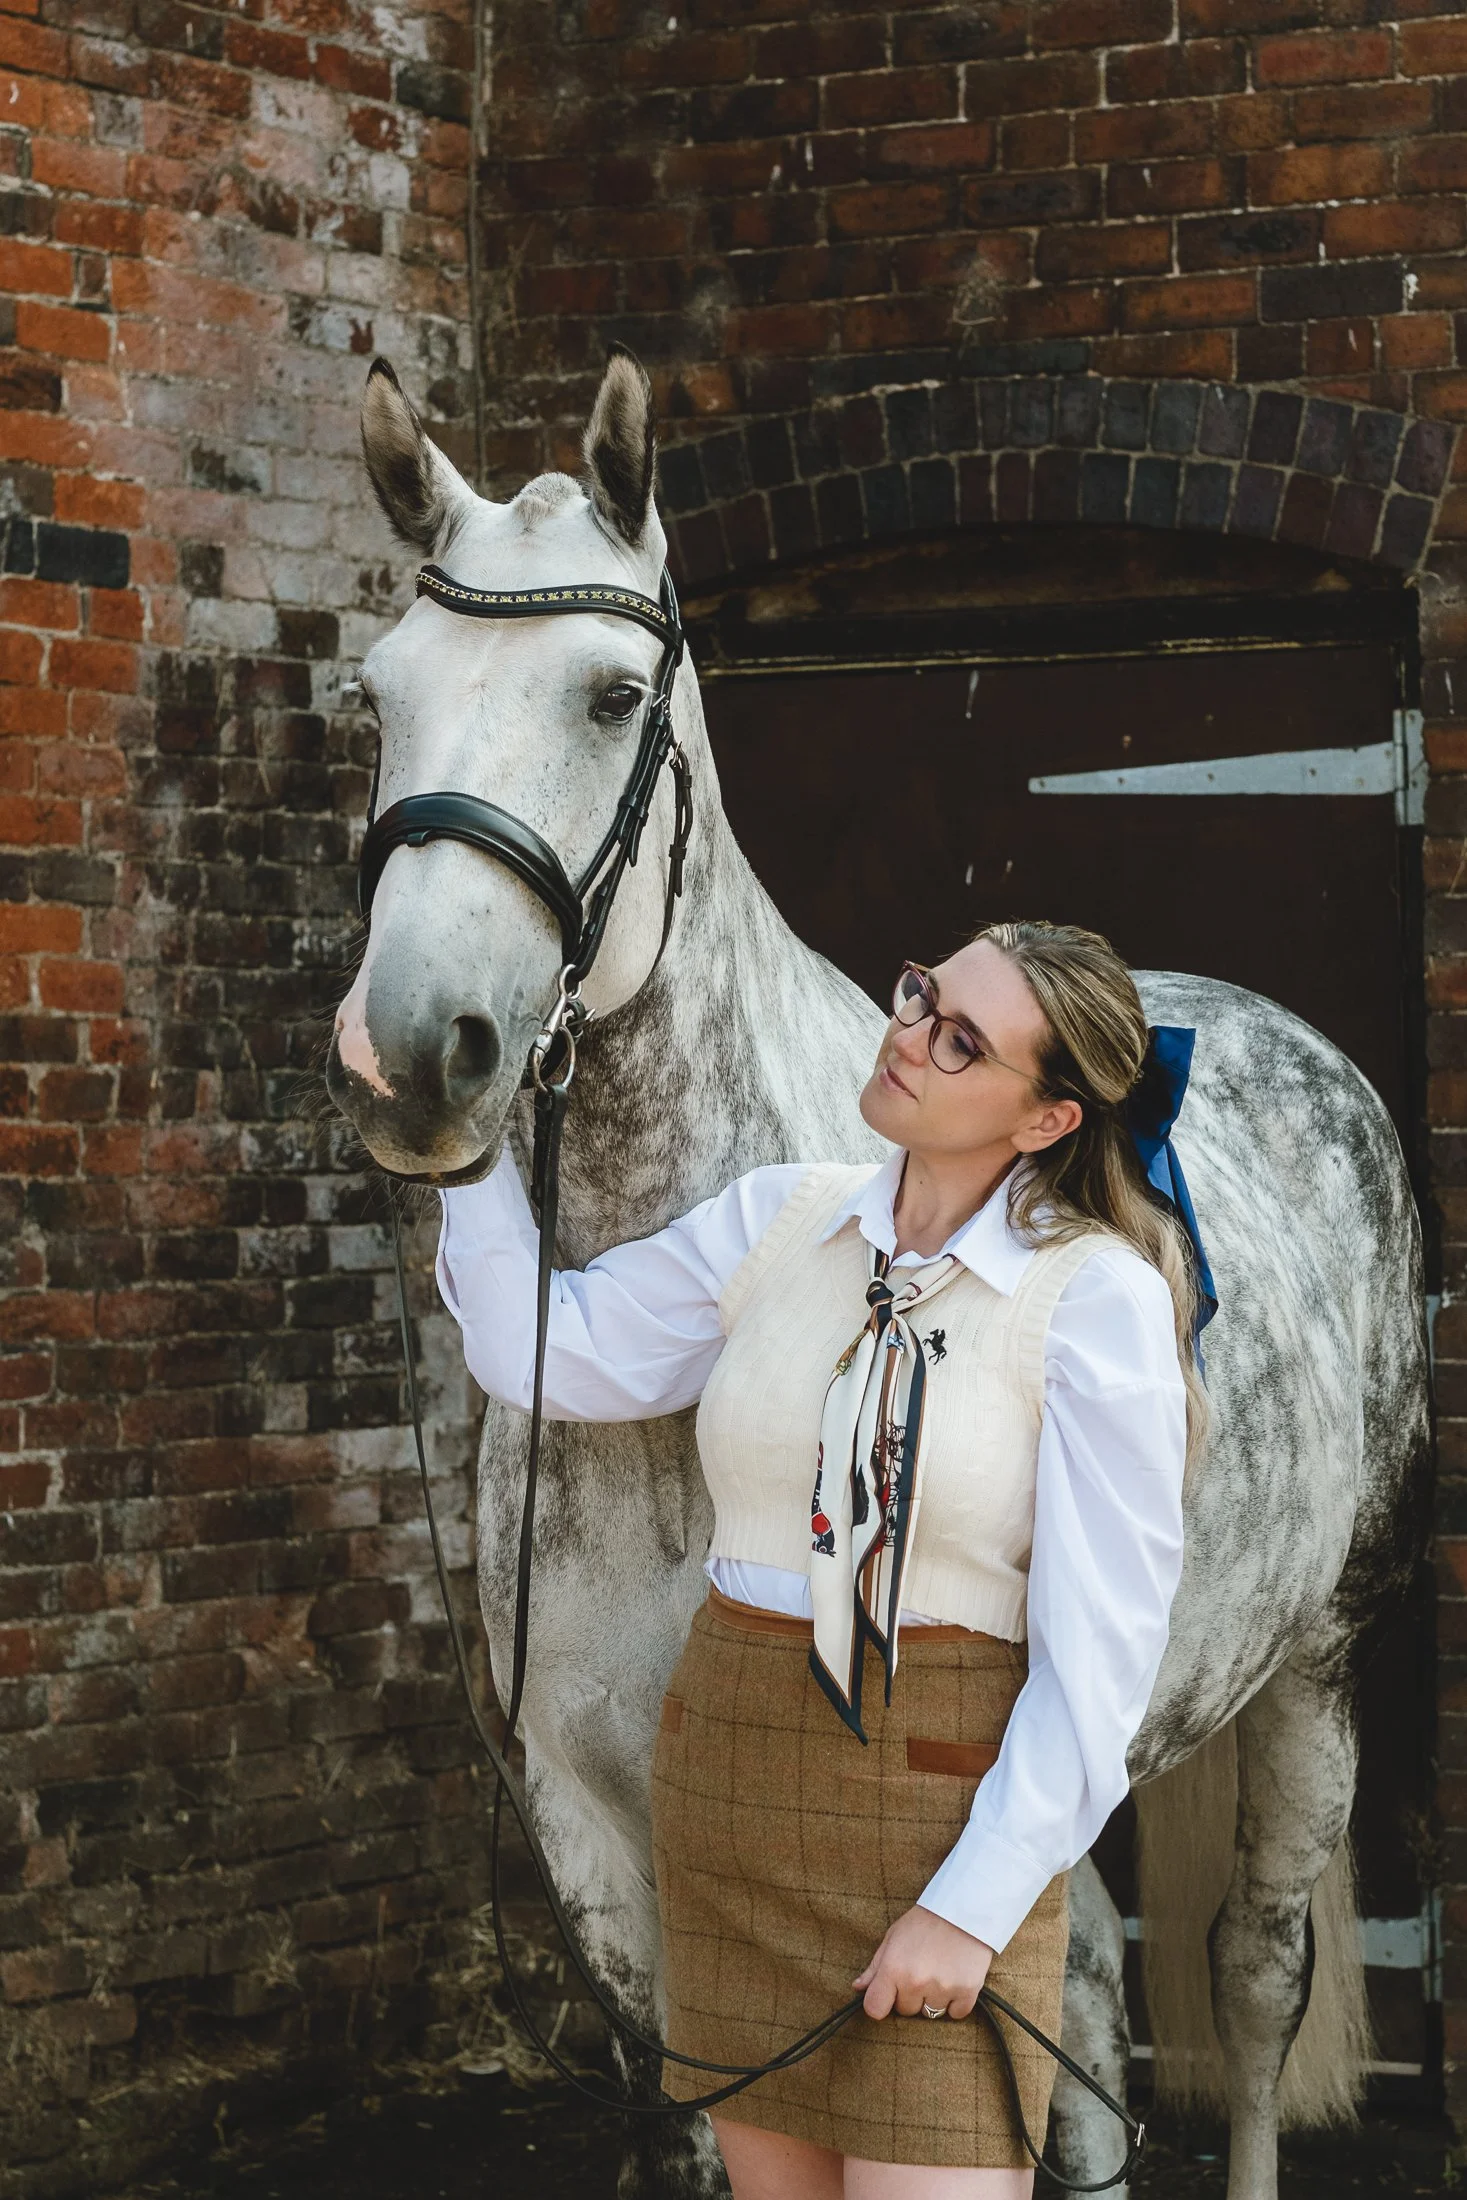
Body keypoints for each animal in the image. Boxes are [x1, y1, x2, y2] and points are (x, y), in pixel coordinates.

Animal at [325, 348, 1431, 2200]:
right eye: (380, 696)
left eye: (612, 698)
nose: (413, 1053)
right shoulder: (597, 1845)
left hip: (1316, 1661)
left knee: (1251, 1974)